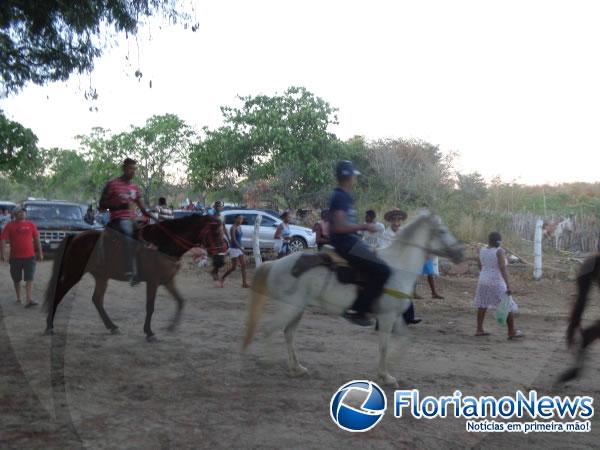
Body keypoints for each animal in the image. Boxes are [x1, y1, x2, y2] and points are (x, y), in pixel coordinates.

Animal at [43, 214, 224, 342]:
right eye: (215, 232)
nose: (221, 258)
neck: (163, 244)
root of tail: (74, 237)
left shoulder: (167, 280)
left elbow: (180, 301)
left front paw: (171, 327)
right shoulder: (152, 282)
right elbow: (150, 307)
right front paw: (149, 332)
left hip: (101, 277)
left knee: (97, 299)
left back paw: (112, 326)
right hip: (74, 273)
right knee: (58, 293)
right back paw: (49, 326)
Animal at [243, 211, 464, 386]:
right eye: (442, 231)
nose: (460, 253)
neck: (398, 267)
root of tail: (275, 264)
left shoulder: (395, 317)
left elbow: (405, 341)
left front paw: (389, 371)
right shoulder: (386, 317)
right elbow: (384, 346)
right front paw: (385, 376)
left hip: (297, 308)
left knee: (288, 334)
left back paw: (296, 368)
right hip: (290, 307)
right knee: (269, 329)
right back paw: (271, 363)